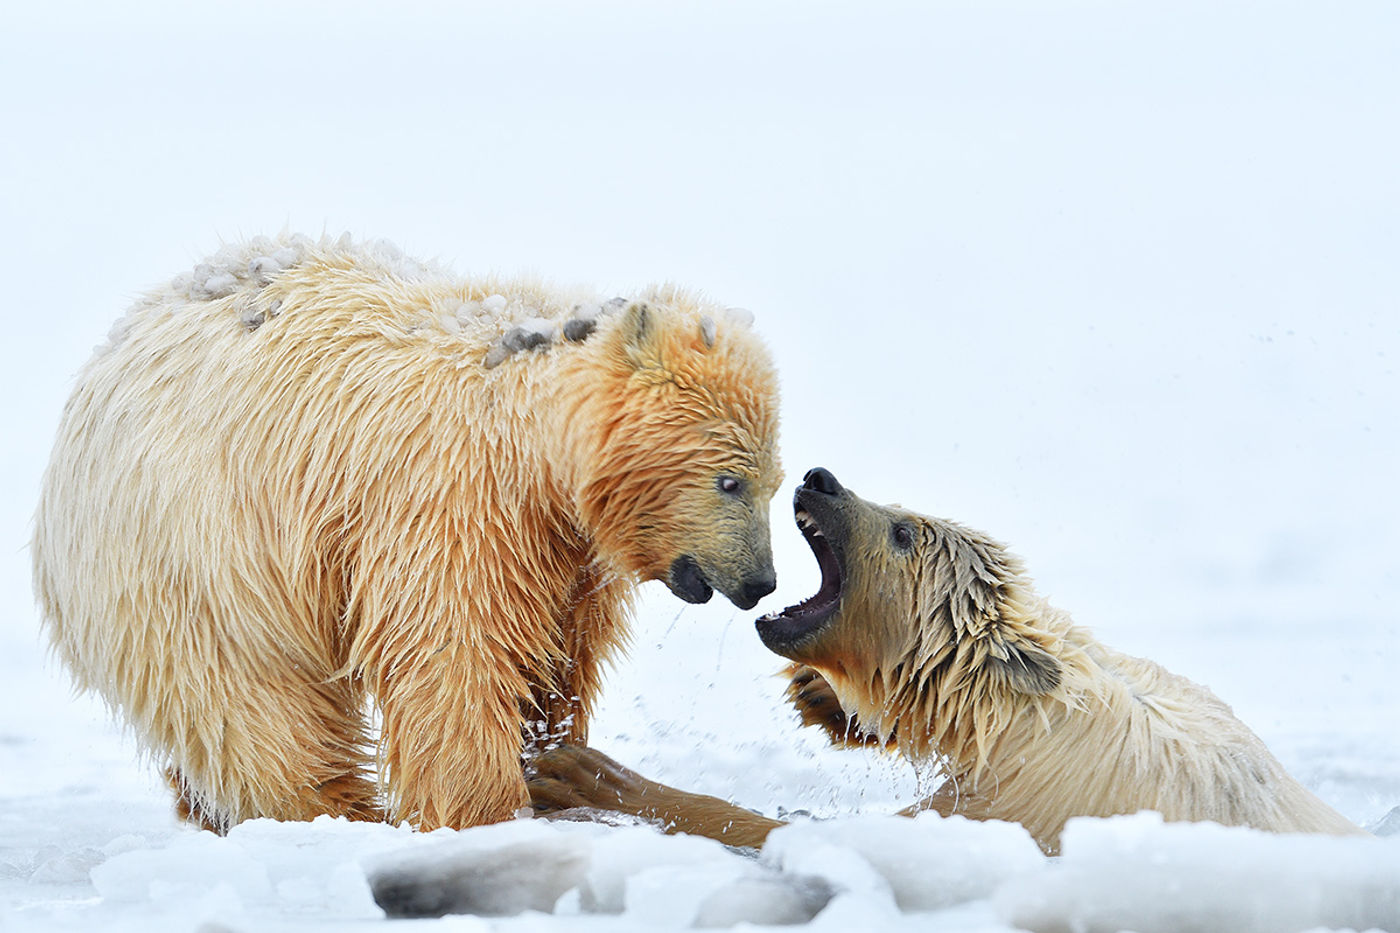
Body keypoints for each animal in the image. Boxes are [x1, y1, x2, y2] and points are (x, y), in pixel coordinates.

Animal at [32, 232, 784, 829]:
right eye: (730, 481)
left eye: (773, 482)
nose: (760, 581)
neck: (524, 425)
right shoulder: (452, 497)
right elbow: (452, 650)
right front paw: (491, 809)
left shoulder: (563, 546)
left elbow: (557, 653)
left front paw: (551, 753)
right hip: (190, 556)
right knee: (256, 706)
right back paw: (335, 810)